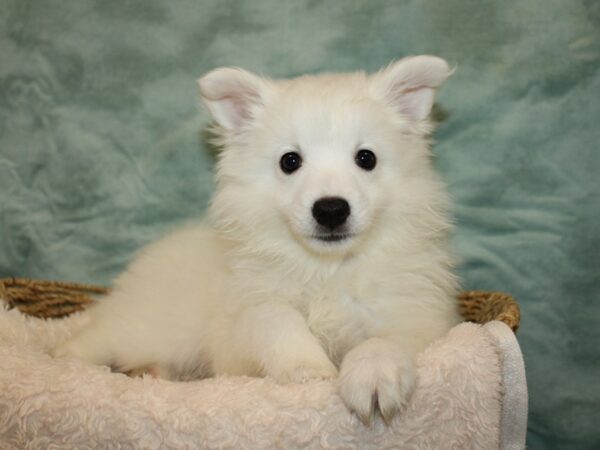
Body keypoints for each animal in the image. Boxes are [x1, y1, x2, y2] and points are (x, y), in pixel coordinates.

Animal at [55, 55, 460, 422]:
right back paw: (62, 357)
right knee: (90, 342)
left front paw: (373, 377)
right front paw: (307, 369)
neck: (326, 268)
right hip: (146, 326)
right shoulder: (239, 328)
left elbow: (383, 340)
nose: (331, 209)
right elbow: (275, 317)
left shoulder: (419, 315)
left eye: (366, 158)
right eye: (289, 161)